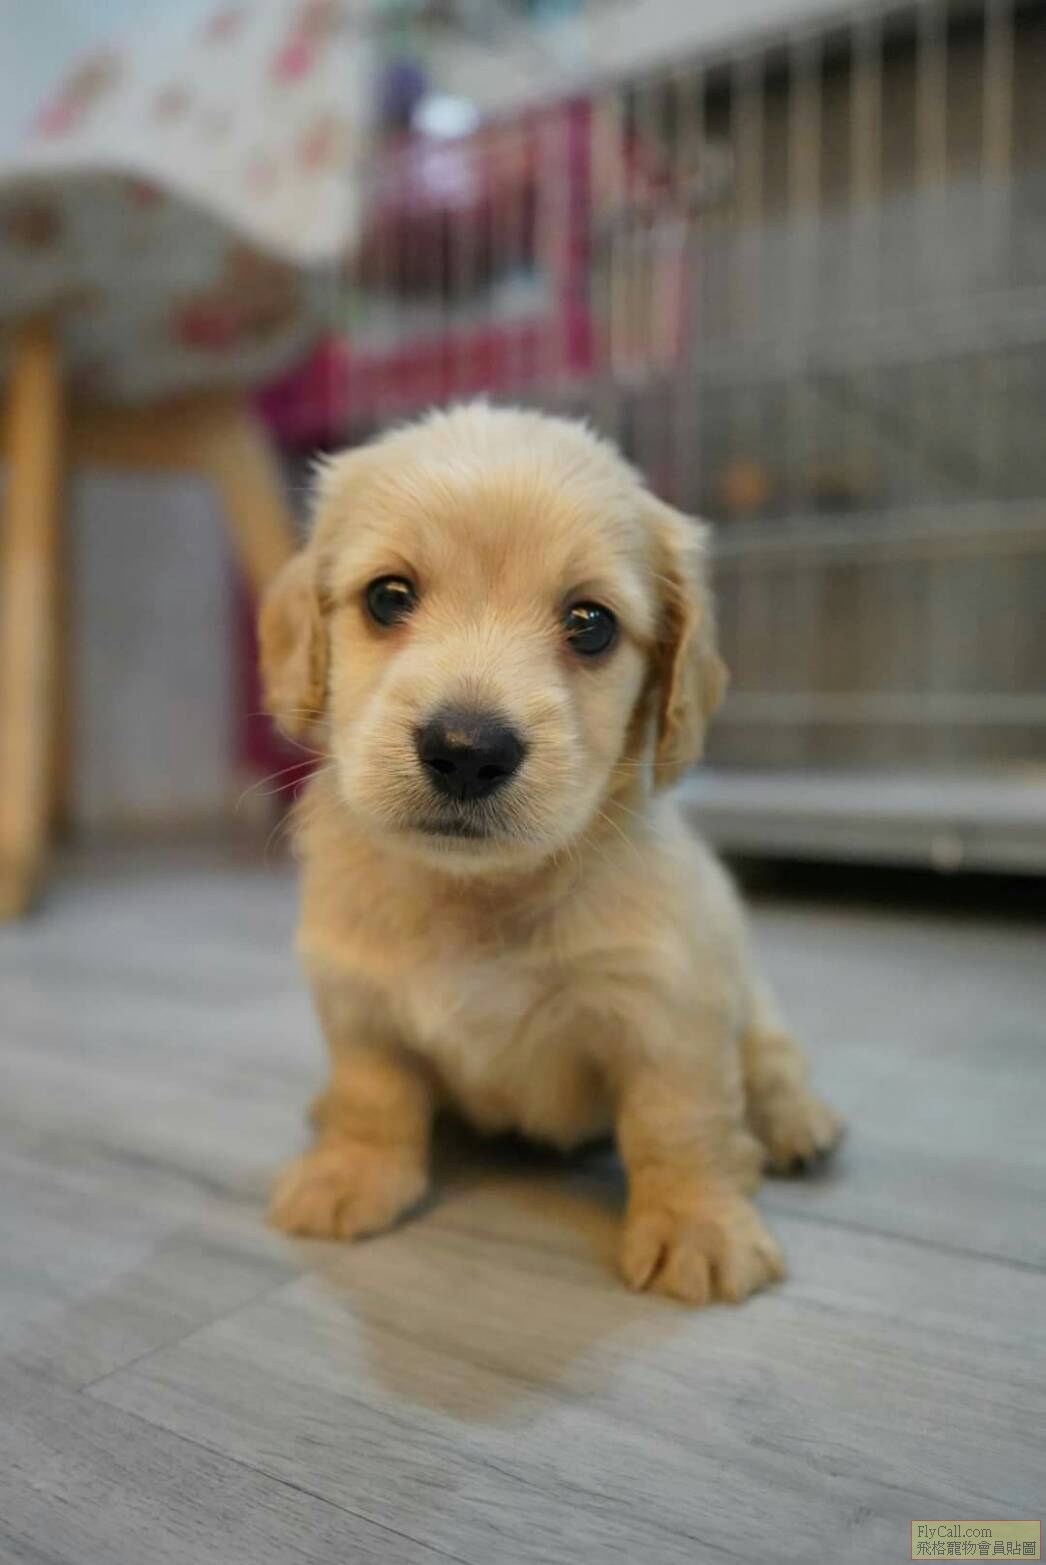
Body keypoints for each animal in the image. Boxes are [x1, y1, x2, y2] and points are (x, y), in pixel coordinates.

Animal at [259, 403, 842, 1304]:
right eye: (388, 597)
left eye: (590, 623)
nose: (467, 750)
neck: (479, 894)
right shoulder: (356, 997)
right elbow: (372, 1092)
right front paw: (348, 1172)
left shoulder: (669, 1010)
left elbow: (682, 1120)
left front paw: (698, 1226)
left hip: (753, 993)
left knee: (773, 1058)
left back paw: (795, 1125)